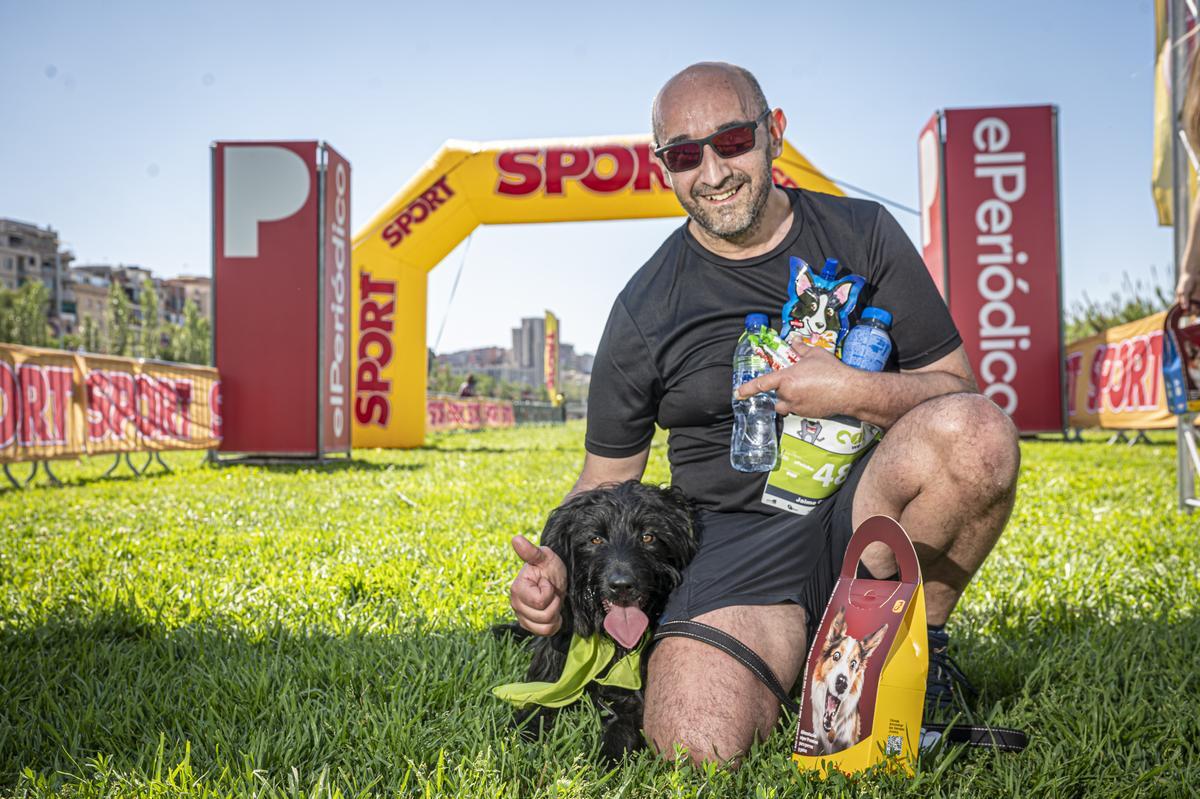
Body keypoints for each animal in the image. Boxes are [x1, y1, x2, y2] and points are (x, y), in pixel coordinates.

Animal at [496, 475, 696, 763]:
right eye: (595, 539)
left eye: (648, 536)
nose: (622, 586)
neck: (612, 642)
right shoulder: (552, 674)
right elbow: (535, 704)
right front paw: (520, 733)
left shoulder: (635, 700)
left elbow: (623, 727)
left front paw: (606, 758)